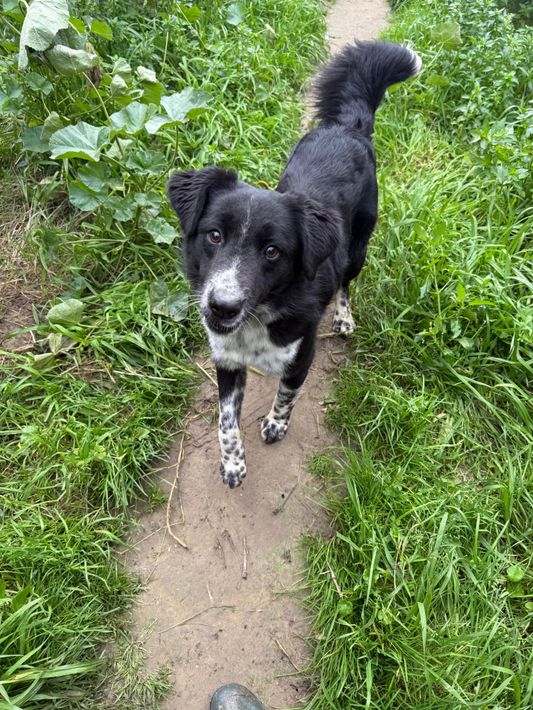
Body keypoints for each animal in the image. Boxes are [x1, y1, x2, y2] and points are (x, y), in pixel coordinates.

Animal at [168, 41, 421, 488]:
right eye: (214, 235)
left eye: (273, 251)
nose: (221, 307)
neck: (259, 316)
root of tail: (348, 127)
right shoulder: (226, 362)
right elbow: (225, 421)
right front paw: (233, 464)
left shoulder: (302, 357)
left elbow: (287, 394)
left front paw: (275, 425)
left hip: (358, 249)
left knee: (346, 284)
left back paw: (344, 317)